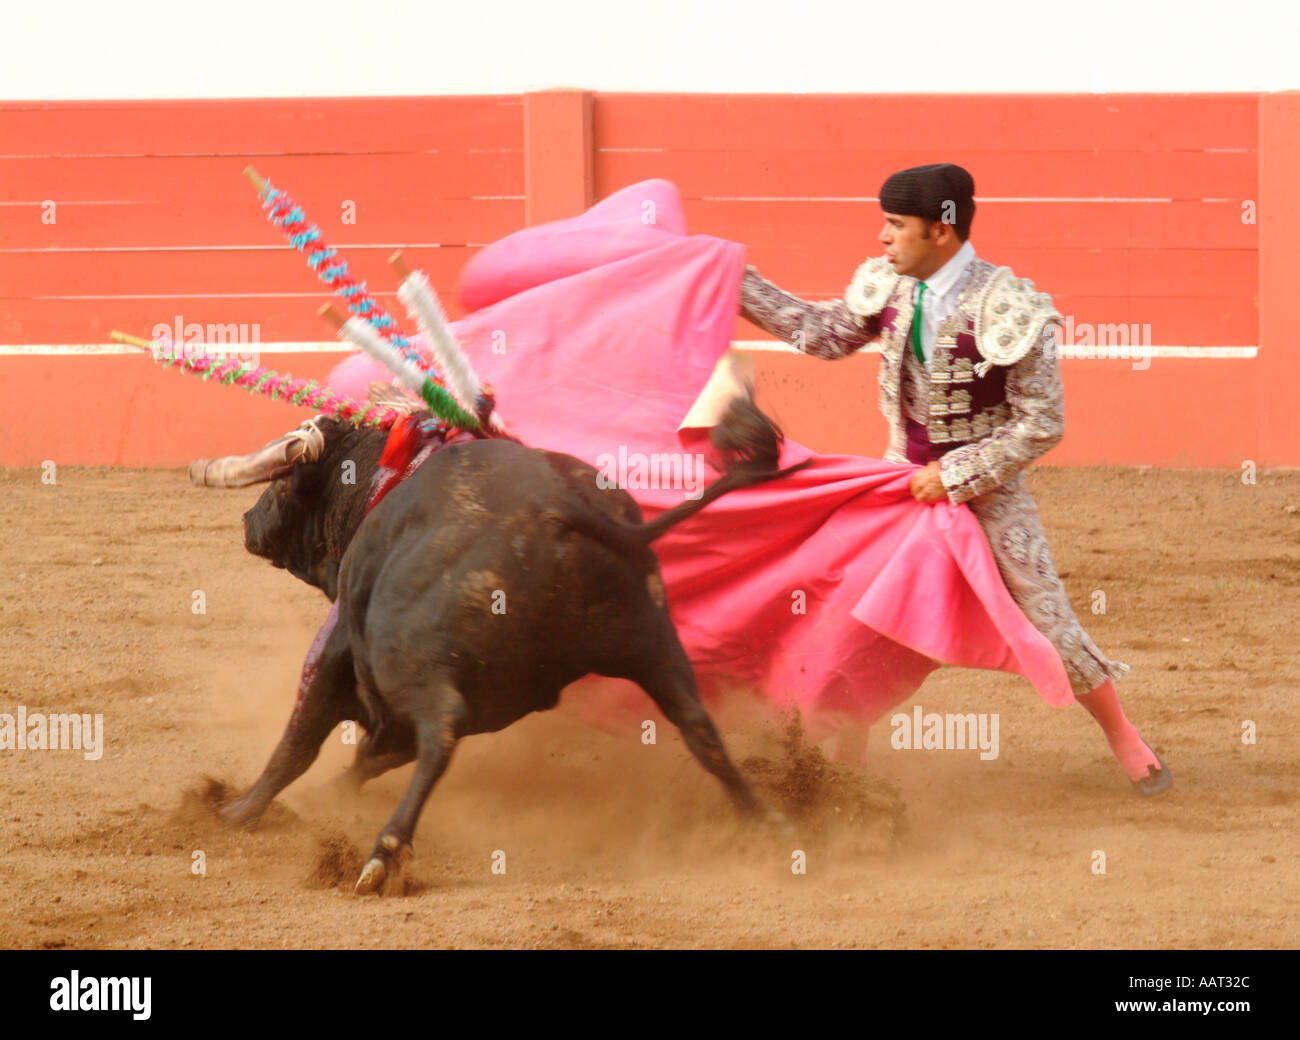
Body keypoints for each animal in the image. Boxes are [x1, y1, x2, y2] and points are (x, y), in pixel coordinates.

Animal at [200, 397, 811, 894]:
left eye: (281, 484)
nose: (248, 521)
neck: (380, 481)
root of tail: (559, 505)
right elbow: (371, 753)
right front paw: (327, 795)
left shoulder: (340, 646)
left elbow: (300, 738)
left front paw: (235, 810)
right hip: (651, 646)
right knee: (701, 729)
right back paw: (768, 825)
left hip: (411, 659)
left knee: (440, 731)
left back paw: (384, 854)